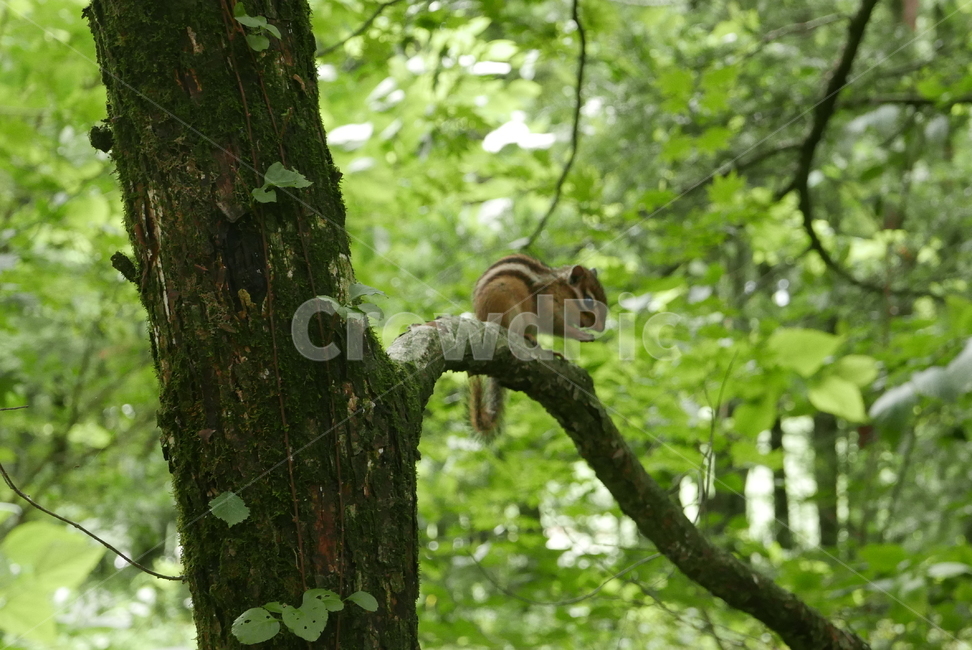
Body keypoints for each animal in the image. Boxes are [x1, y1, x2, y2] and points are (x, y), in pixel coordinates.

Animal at [468, 254, 608, 439]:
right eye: (589, 301)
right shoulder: (546, 307)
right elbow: (557, 326)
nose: (601, 328)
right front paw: (582, 335)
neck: (559, 289)